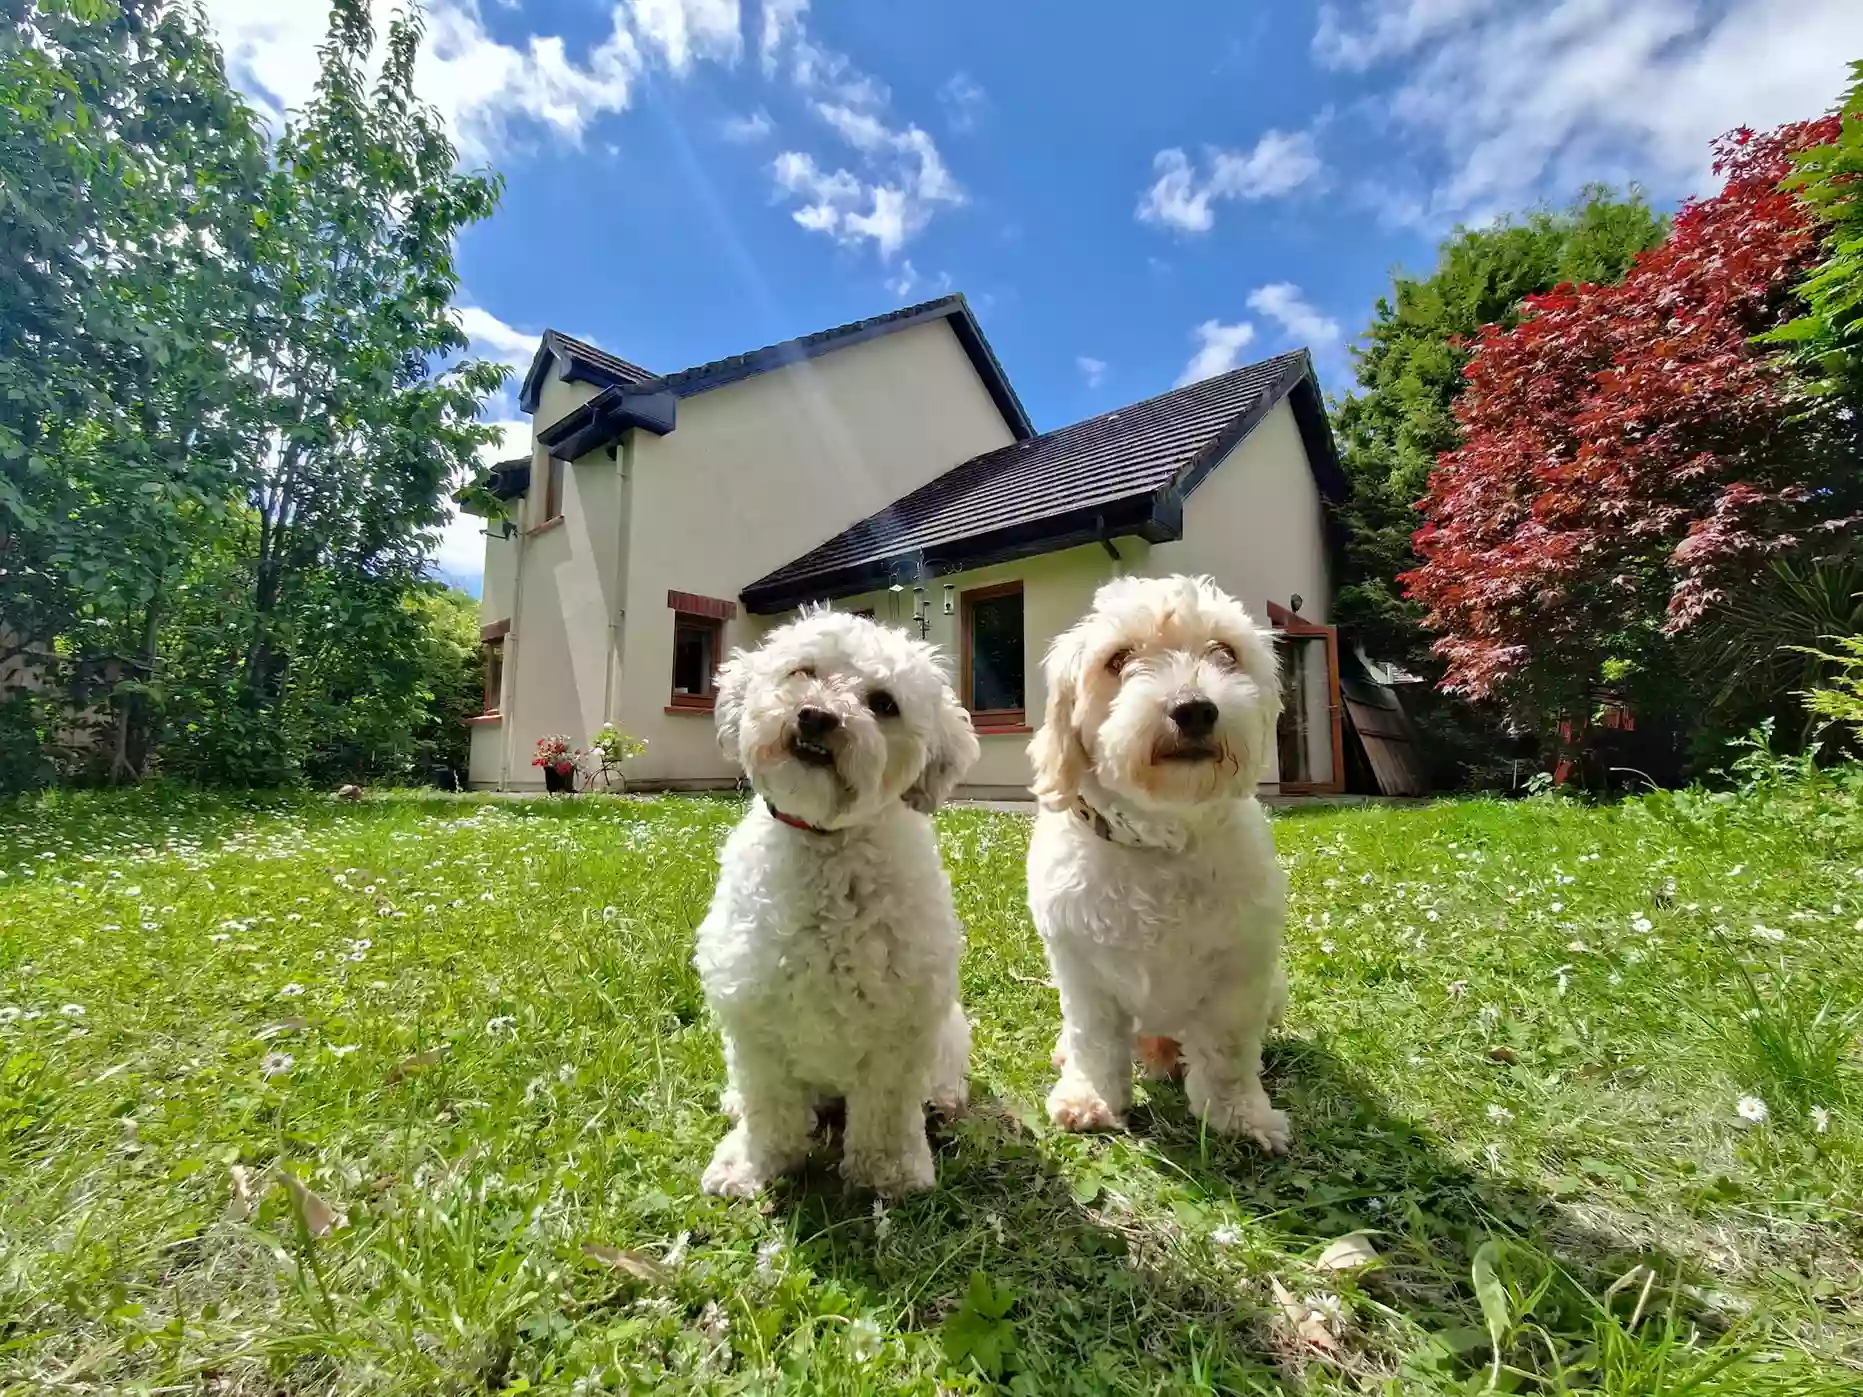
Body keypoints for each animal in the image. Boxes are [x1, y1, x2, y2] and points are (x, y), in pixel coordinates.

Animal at [696, 607, 983, 1199]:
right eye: (802, 671)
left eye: (884, 703)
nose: (815, 717)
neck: (827, 844)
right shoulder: (756, 1021)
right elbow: (770, 1109)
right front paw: (756, 1163)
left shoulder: (901, 1028)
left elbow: (886, 1114)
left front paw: (889, 1172)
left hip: (948, 1030)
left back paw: (943, 1100)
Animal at [1028, 573, 1289, 1154]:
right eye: (1118, 658)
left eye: (1224, 652)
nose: (1194, 708)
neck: (1159, 840)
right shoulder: (1084, 974)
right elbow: (1095, 1042)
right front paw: (1091, 1097)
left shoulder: (1240, 973)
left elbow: (1229, 1053)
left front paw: (1240, 1115)